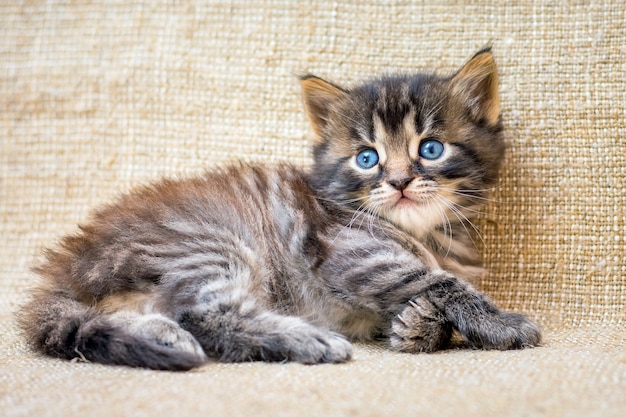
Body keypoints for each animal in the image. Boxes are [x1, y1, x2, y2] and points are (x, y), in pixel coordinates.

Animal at [17, 47, 540, 368]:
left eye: (430, 149)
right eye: (367, 158)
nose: (399, 182)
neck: (426, 233)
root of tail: (65, 268)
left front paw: (418, 327)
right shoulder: (351, 250)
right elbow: (436, 281)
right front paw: (500, 322)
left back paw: (160, 335)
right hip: (207, 244)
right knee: (206, 315)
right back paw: (305, 339)